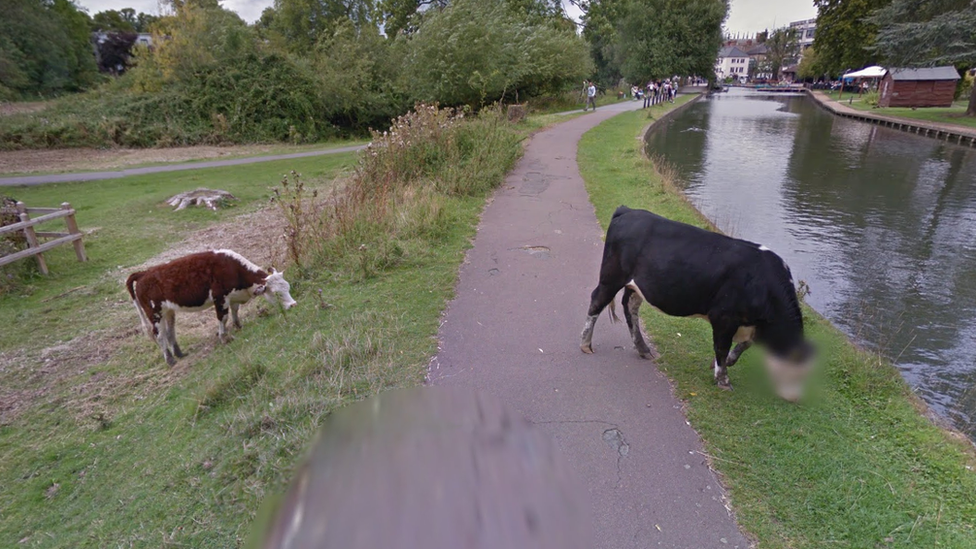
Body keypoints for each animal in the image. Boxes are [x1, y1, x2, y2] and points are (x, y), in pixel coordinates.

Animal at [126, 249, 296, 364]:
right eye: (277, 294)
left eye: (287, 287)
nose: (293, 304)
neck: (233, 268)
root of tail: (143, 273)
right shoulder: (220, 298)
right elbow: (223, 317)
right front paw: (223, 337)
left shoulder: (232, 297)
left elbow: (235, 311)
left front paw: (238, 326)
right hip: (154, 313)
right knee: (159, 334)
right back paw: (169, 359)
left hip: (168, 311)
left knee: (169, 332)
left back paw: (179, 353)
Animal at [580, 206, 816, 398]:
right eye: (797, 374)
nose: (795, 399)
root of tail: (628, 211)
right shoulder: (723, 316)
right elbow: (721, 347)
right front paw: (723, 380)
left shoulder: (749, 323)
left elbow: (744, 344)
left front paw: (726, 362)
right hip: (612, 276)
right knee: (597, 301)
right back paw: (586, 344)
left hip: (635, 285)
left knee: (630, 308)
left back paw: (643, 348)